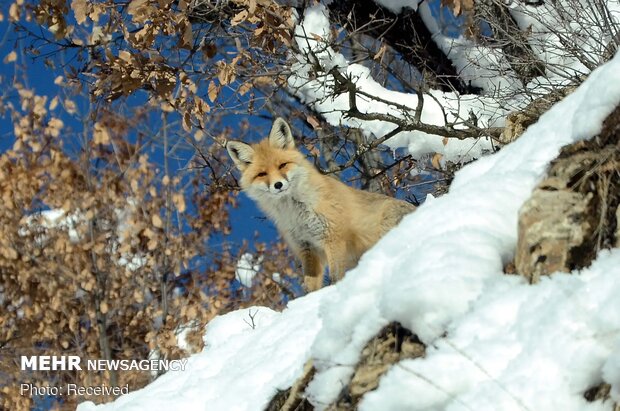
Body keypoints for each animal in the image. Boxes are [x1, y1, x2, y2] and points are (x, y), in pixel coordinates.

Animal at [225, 118, 414, 292]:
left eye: (282, 165)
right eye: (262, 174)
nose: (278, 185)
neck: (297, 213)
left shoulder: (334, 238)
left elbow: (335, 278)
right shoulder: (307, 249)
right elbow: (310, 288)